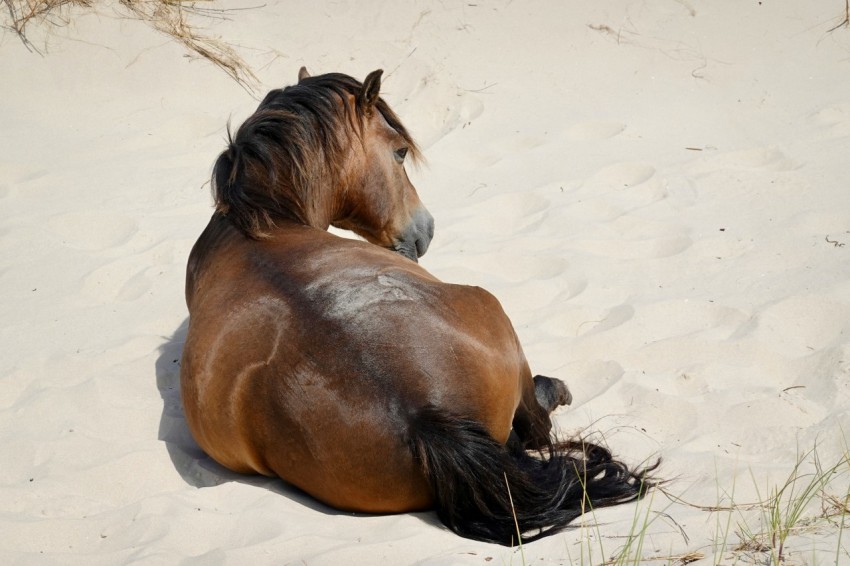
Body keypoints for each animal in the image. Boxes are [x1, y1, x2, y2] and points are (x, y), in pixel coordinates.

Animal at [181, 69, 656, 548]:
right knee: (536, 425)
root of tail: (422, 416)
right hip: (493, 307)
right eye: (399, 150)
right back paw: (554, 389)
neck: (259, 225)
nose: (425, 229)